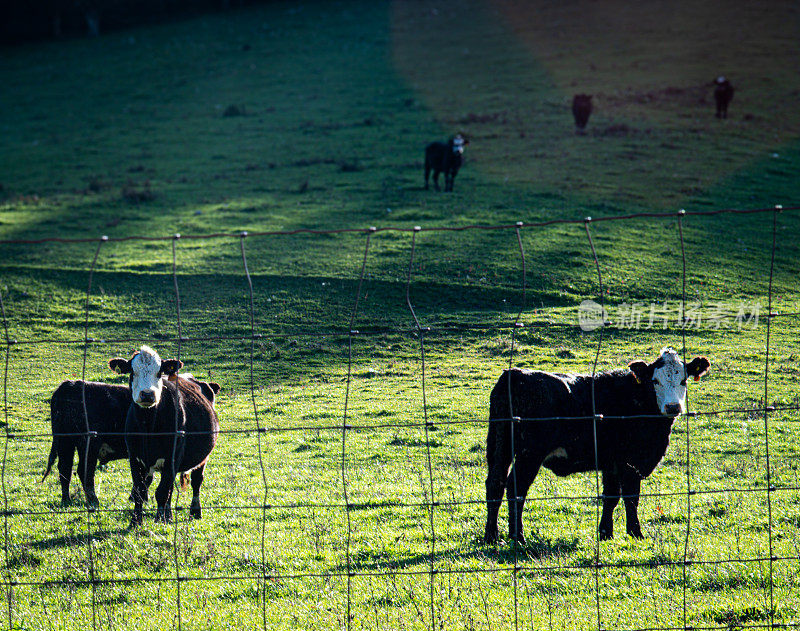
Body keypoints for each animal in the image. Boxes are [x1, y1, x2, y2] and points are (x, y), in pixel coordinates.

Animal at [106, 348, 220, 524]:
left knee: (196, 481)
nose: (147, 394)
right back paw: (169, 514)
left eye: (159, 373)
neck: (148, 426)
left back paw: (195, 511)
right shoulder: (134, 456)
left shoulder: (173, 455)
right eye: (132, 371)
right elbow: (139, 490)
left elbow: (161, 492)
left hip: (202, 457)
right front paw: (136, 521)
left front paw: (160, 519)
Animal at [484, 346, 708, 544]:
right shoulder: (630, 462)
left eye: (683, 380)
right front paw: (636, 533)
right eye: (655, 381)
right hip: (529, 454)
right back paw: (518, 537)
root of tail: (515, 374)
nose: (673, 407)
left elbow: (611, 497)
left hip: (499, 448)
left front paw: (606, 533)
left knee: (495, 484)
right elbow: (631, 496)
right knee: (516, 489)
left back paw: (492, 536)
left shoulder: (611, 463)